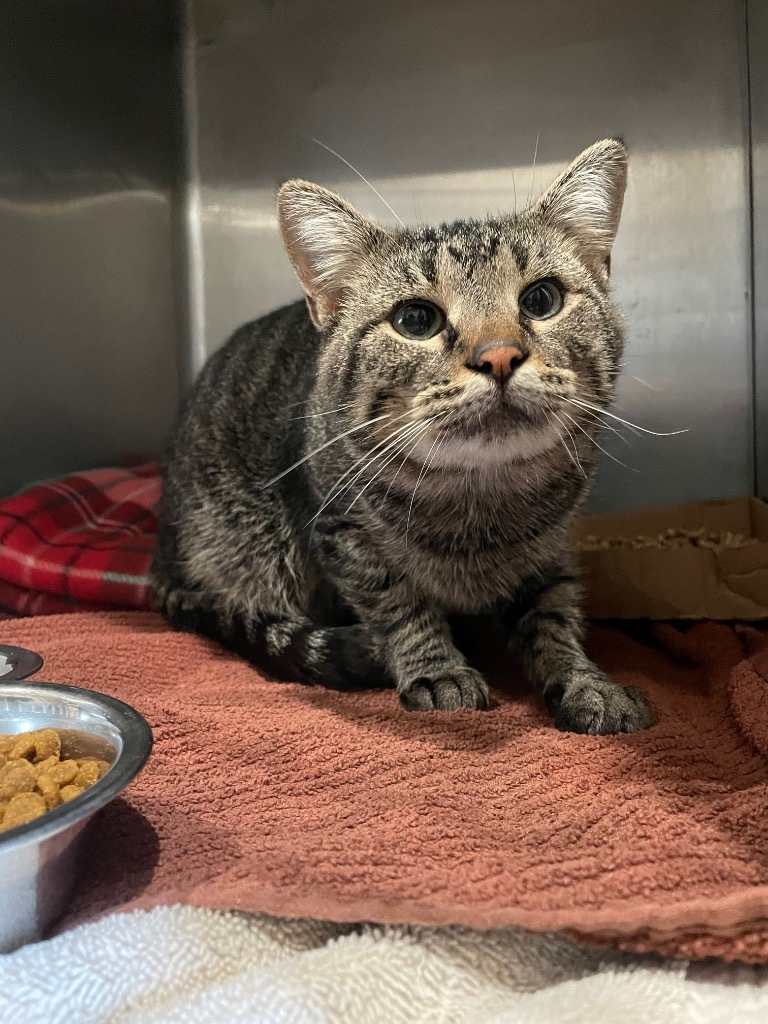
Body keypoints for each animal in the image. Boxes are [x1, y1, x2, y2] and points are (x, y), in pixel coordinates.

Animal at [151, 140, 655, 733]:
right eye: (415, 319)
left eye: (541, 299)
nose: (499, 356)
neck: (479, 497)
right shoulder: (346, 536)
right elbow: (399, 606)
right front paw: (437, 669)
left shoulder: (550, 550)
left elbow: (554, 616)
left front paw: (584, 681)